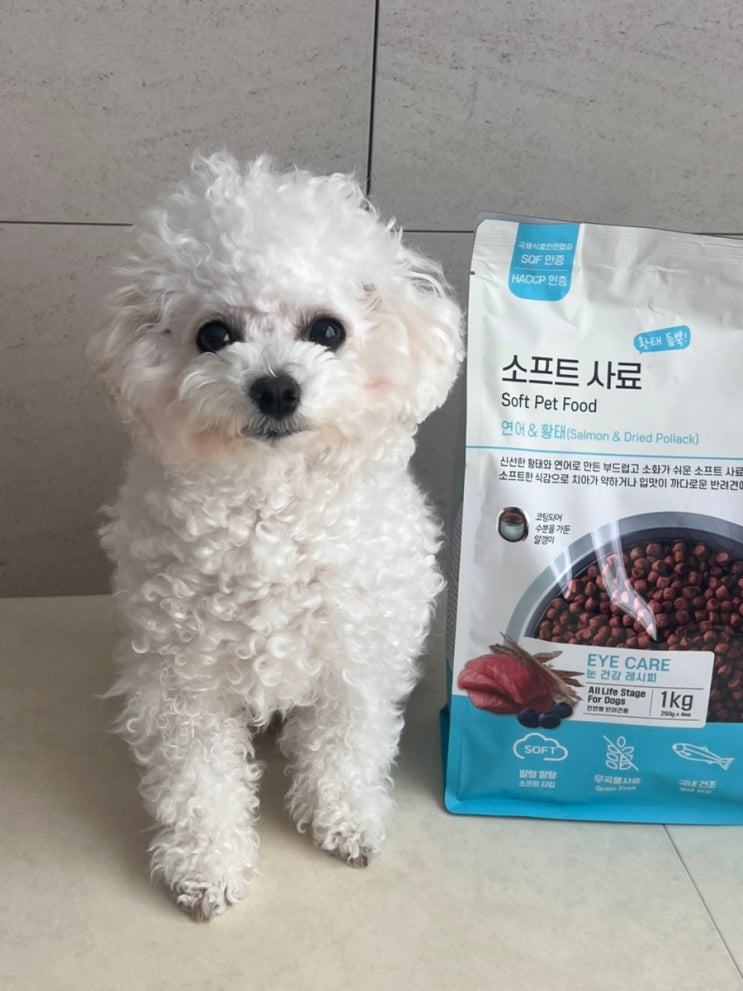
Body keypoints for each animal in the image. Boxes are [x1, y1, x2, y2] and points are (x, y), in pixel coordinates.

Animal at [89, 153, 463, 920]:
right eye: (213, 334)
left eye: (328, 330)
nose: (276, 388)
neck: (274, 512)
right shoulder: (183, 680)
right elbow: (198, 780)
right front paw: (205, 865)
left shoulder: (356, 659)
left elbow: (346, 747)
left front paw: (345, 819)